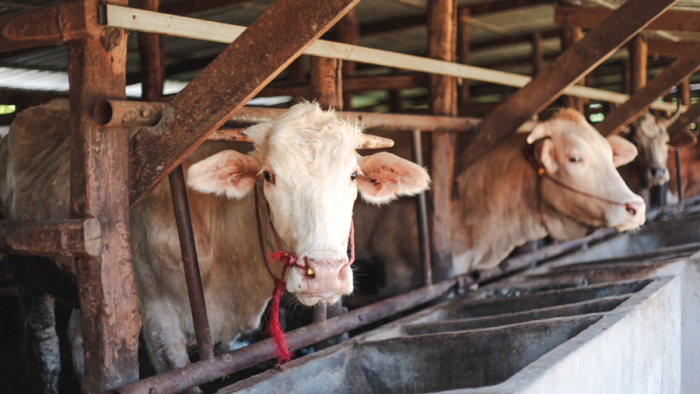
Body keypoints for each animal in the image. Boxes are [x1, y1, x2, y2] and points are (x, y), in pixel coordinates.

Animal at [0, 99, 432, 390]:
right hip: (27, 268)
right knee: (48, 350)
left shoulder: (229, 332)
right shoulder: (159, 323)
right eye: (268, 175)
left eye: (353, 175)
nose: (324, 275)